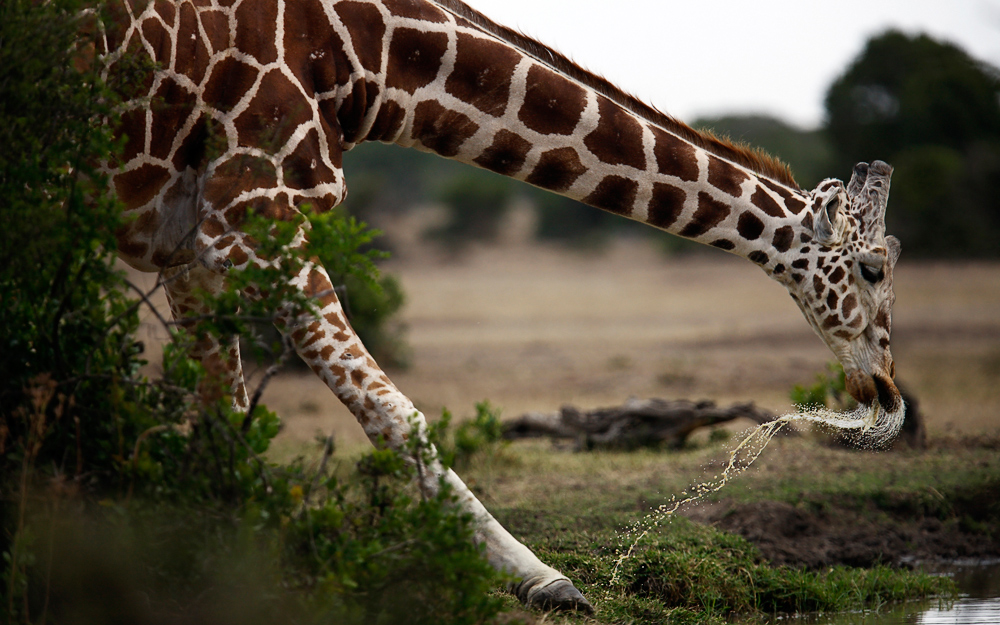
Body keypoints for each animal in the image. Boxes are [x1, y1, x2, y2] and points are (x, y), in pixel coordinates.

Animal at [97, 0, 904, 608]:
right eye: (872, 268)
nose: (890, 399)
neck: (365, 59)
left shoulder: (187, 240)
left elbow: (224, 417)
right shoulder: (252, 213)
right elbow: (395, 412)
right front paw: (543, 579)